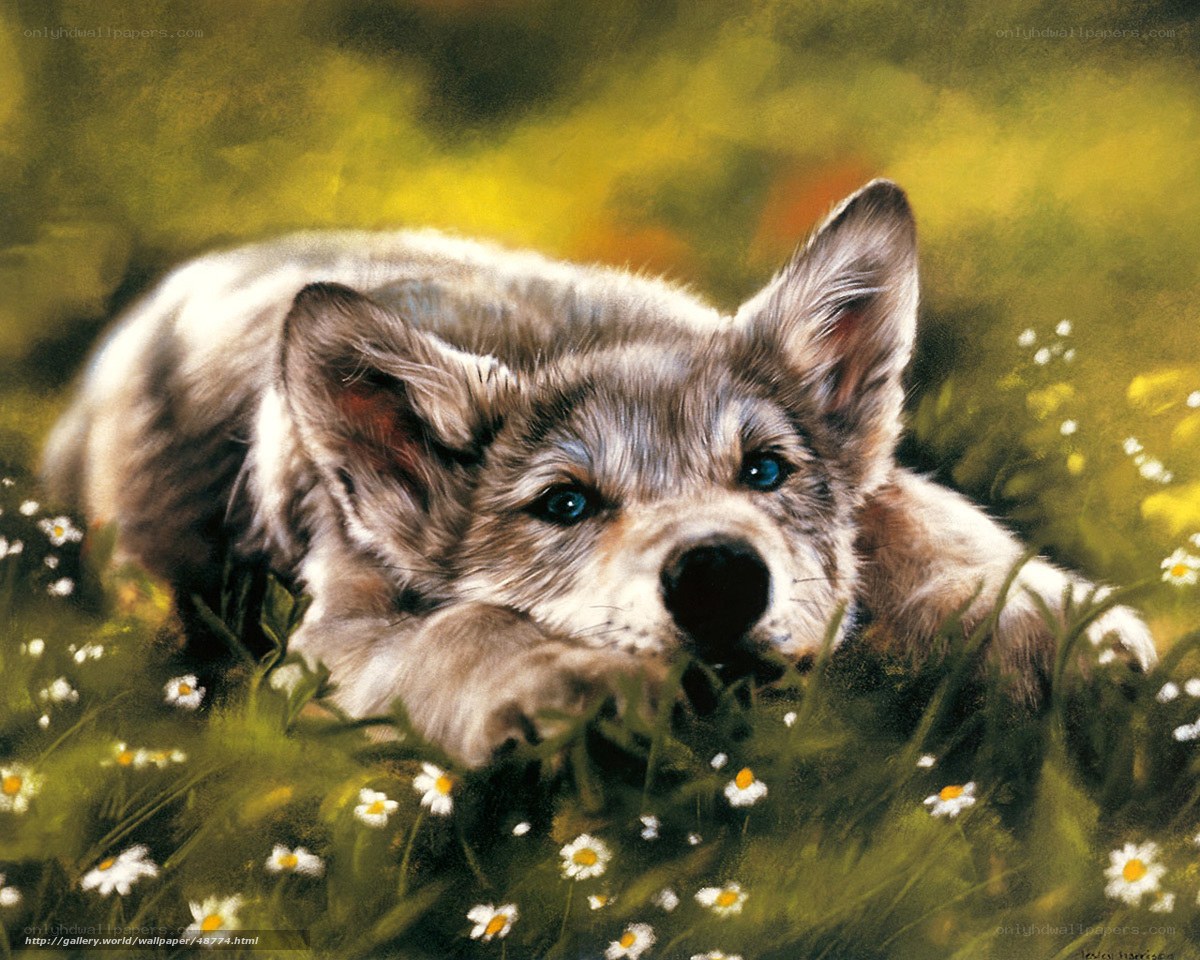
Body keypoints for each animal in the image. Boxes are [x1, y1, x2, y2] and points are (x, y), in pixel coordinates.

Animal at [43, 180, 1156, 765]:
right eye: (564, 504)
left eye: (765, 470)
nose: (719, 577)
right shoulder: (336, 633)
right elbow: (461, 629)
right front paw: (562, 683)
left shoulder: (874, 488)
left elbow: (918, 513)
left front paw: (1042, 620)